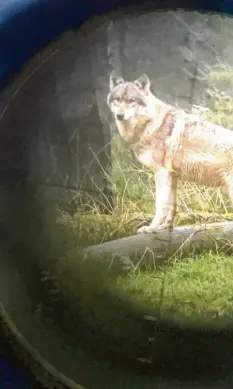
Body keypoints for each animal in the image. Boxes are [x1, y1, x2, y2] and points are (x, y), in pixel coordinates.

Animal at [107, 69, 233, 233]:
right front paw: (166, 227)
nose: (119, 115)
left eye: (131, 100)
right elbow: (172, 206)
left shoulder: (161, 173)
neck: (152, 123)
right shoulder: (172, 175)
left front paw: (151, 228)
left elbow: (160, 205)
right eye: (117, 99)